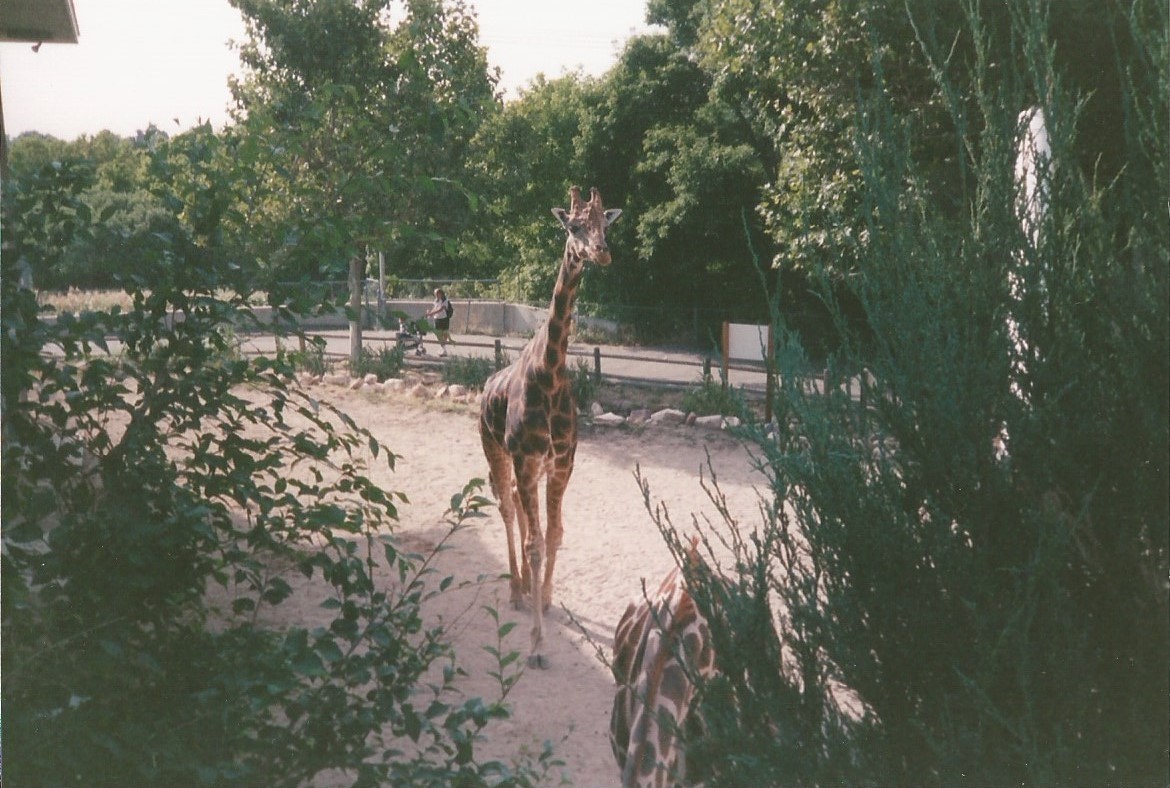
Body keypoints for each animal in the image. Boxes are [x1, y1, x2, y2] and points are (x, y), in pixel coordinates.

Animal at [479, 186, 622, 670]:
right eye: (573, 226)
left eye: (605, 223)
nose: (601, 252)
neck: (552, 371)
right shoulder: (525, 458)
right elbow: (536, 542)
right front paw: (537, 646)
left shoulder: (562, 463)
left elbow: (554, 536)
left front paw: (546, 597)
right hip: (496, 452)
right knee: (507, 510)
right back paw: (513, 590)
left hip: (533, 468)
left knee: (522, 514)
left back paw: (526, 588)